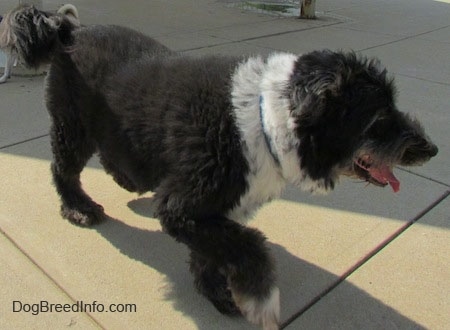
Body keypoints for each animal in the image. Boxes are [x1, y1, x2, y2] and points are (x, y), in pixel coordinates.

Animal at [6, 5, 436, 330]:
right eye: (379, 117)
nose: (431, 149)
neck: (266, 118)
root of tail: (68, 31)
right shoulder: (184, 206)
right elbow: (247, 245)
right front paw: (259, 294)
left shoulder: (209, 211)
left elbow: (215, 250)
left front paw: (217, 290)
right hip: (73, 125)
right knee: (63, 169)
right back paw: (78, 207)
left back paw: (127, 181)